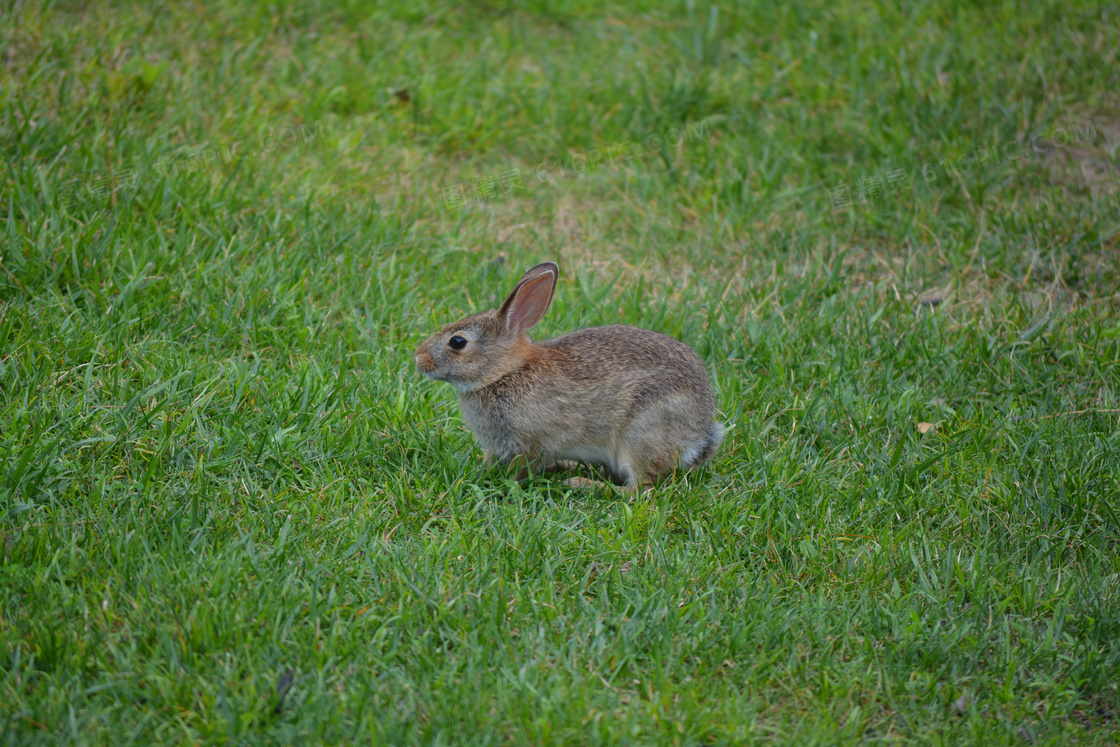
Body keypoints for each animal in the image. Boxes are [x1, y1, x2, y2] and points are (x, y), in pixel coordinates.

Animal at [414, 263, 725, 490]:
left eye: (457, 342)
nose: (418, 359)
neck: (504, 373)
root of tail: (700, 434)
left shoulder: (533, 442)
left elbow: (521, 468)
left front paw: (505, 482)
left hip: (642, 434)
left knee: (639, 487)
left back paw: (582, 483)